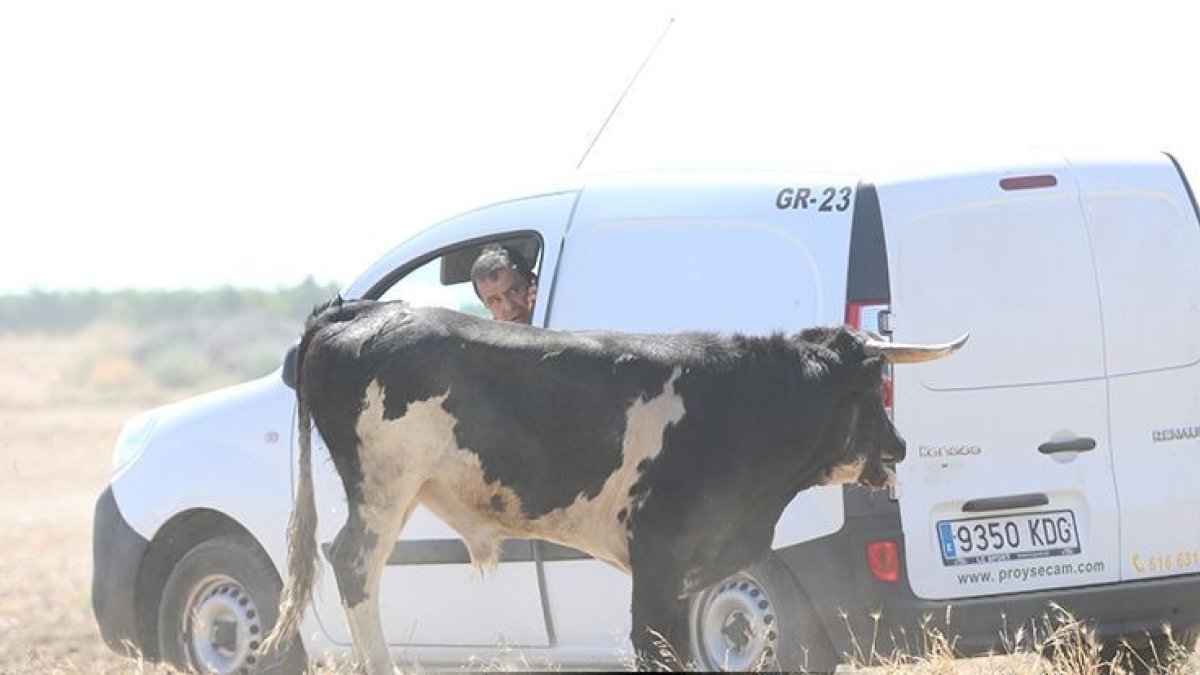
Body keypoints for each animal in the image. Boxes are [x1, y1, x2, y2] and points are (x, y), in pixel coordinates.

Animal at [265, 295, 964, 667]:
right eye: (872, 385)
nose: (900, 445)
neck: (740, 402)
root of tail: (357, 310)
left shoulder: (689, 569)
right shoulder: (659, 555)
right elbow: (652, 645)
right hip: (383, 490)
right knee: (354, 565)